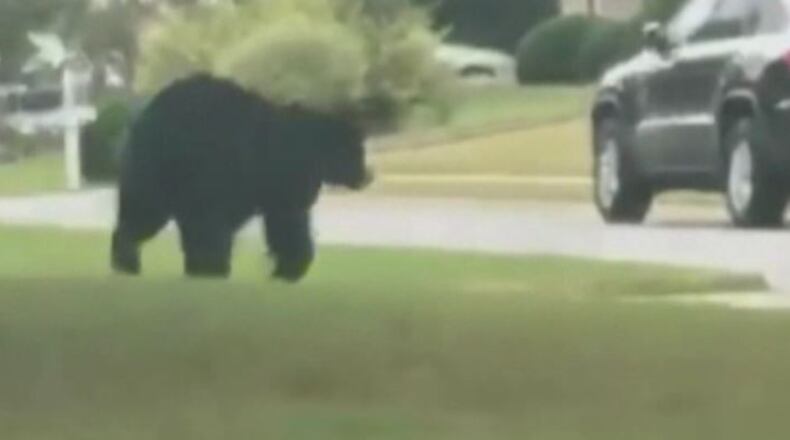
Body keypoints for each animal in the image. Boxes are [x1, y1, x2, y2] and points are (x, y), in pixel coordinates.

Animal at [111, 73, 372, 281]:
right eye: (357, 151)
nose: (366, 176)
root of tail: (142, 118)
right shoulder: (278, 179)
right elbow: (287, 223)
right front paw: (289, 268)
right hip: (178, 166)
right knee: (156, 213)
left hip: (156, 171)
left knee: (143, 213)